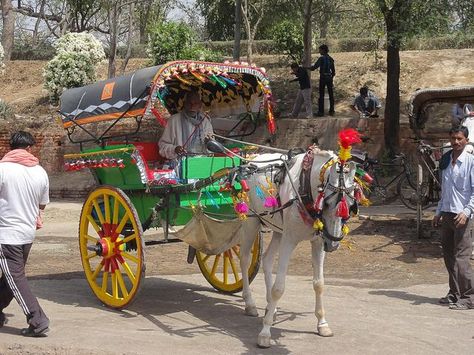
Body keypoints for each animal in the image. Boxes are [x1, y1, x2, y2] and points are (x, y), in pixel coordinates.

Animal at [233, 129, 362, 350]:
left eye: (351, 203)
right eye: (327, 202)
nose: (333, 243)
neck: (304, 184)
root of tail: (252, 158)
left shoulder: (317, 242)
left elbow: (319, 284)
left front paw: (322, 324)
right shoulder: (290, 240)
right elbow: (279, 288)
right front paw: (265, 333)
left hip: (278, 228)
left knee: (267, 259)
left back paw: (270, 307)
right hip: (251, 222)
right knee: (244, 259)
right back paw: (250, 303)